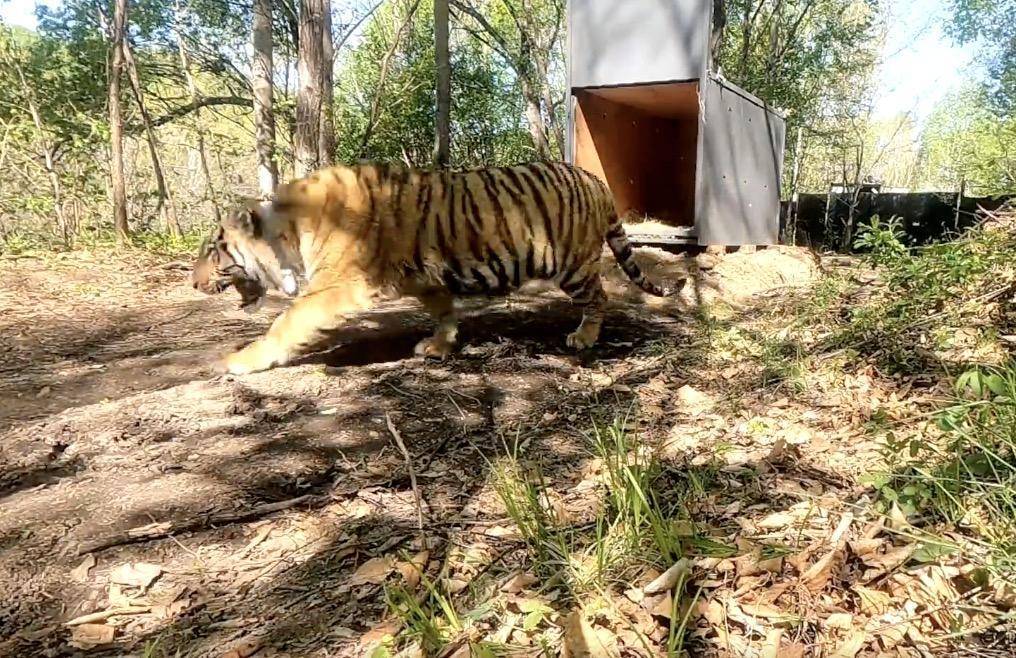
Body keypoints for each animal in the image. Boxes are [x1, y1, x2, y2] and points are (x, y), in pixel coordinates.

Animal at [191, 161, 682, 373]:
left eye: (213, 249)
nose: (193, 283)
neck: (289, 233)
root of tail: (595, 179)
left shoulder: (337, 285)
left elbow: (286, 322)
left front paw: (241, 360)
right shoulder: (422, 277)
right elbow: (443, 310)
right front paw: (440, 346)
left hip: (572, 264)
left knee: (599, 296)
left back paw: (584, 336)